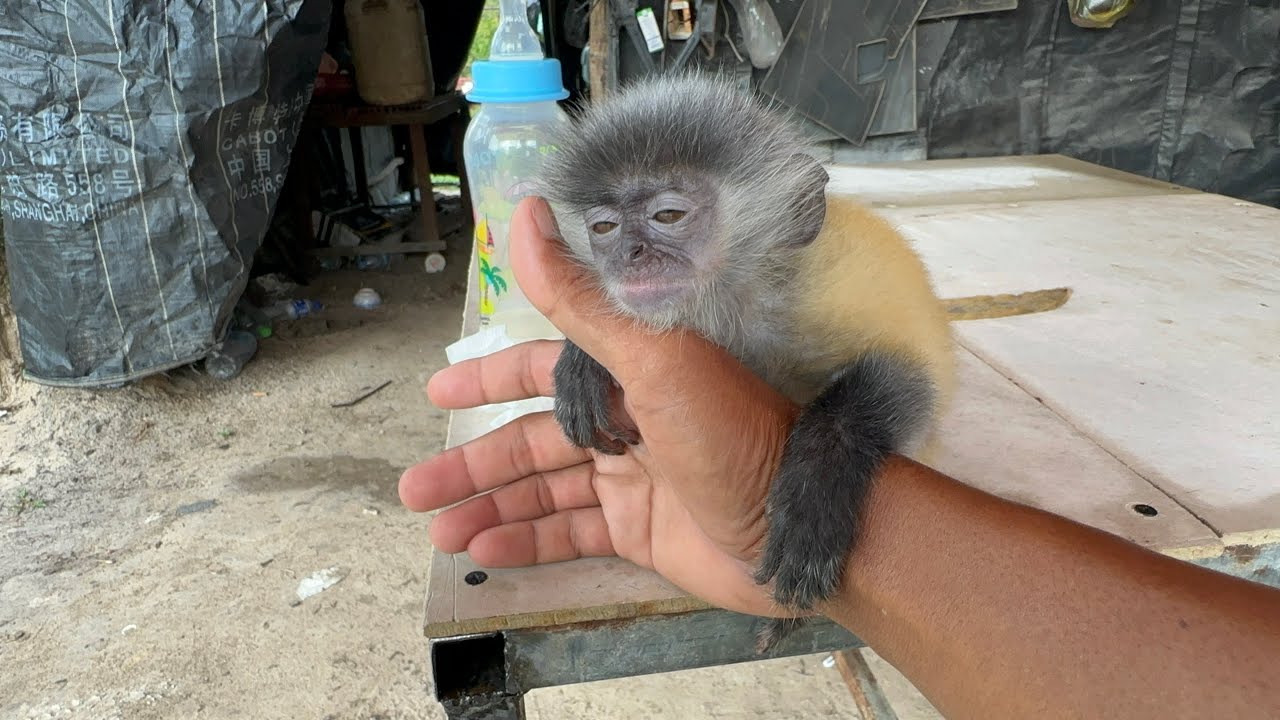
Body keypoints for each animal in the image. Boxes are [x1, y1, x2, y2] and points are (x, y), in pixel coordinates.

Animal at [530, 71, 958, 653]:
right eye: (604, 229)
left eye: (668, 215)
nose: (631, 255)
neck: (732, 310)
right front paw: (582, 361)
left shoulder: (819, 294)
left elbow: (917, 378)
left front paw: (817, 483)